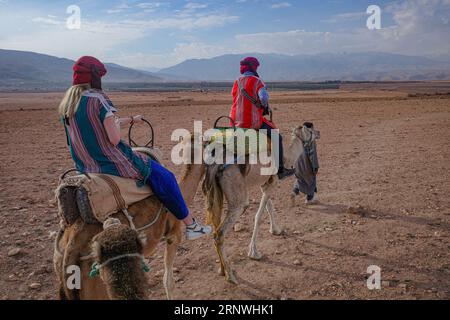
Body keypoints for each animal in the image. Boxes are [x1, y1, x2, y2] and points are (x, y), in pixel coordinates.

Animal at [203, 124, 306, 282]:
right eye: (311, 130)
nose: (319, 133)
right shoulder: (273, 181)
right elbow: (259, 215)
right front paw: (254, 253)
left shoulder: (265, 183)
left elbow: (269, 207)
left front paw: (276, 230)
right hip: (238, 198)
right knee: (220, 233)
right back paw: (231, 276)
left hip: (215, 193)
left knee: (215, 223)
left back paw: (222, 270)